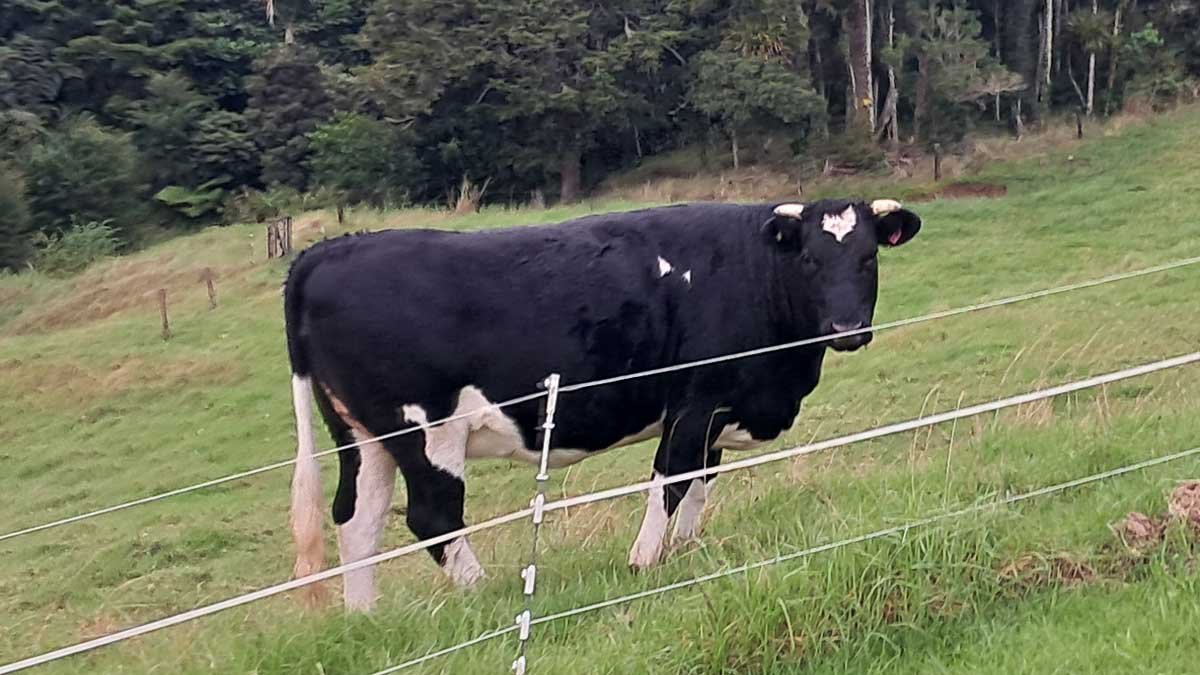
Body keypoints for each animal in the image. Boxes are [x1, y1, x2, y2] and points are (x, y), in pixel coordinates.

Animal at [284, 198, 921, 611]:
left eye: (868, 258)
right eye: (810, 260)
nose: (847, 328)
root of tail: (331, 249)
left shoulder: (718, 411)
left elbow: (701, 481)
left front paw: (688, 550)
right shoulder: (695, 401)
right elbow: (672, 478)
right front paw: (644, 561)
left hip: (364, 437)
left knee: (358, 521)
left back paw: (364, 616)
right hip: (426, 430)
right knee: (432, 517)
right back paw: (488, 595)